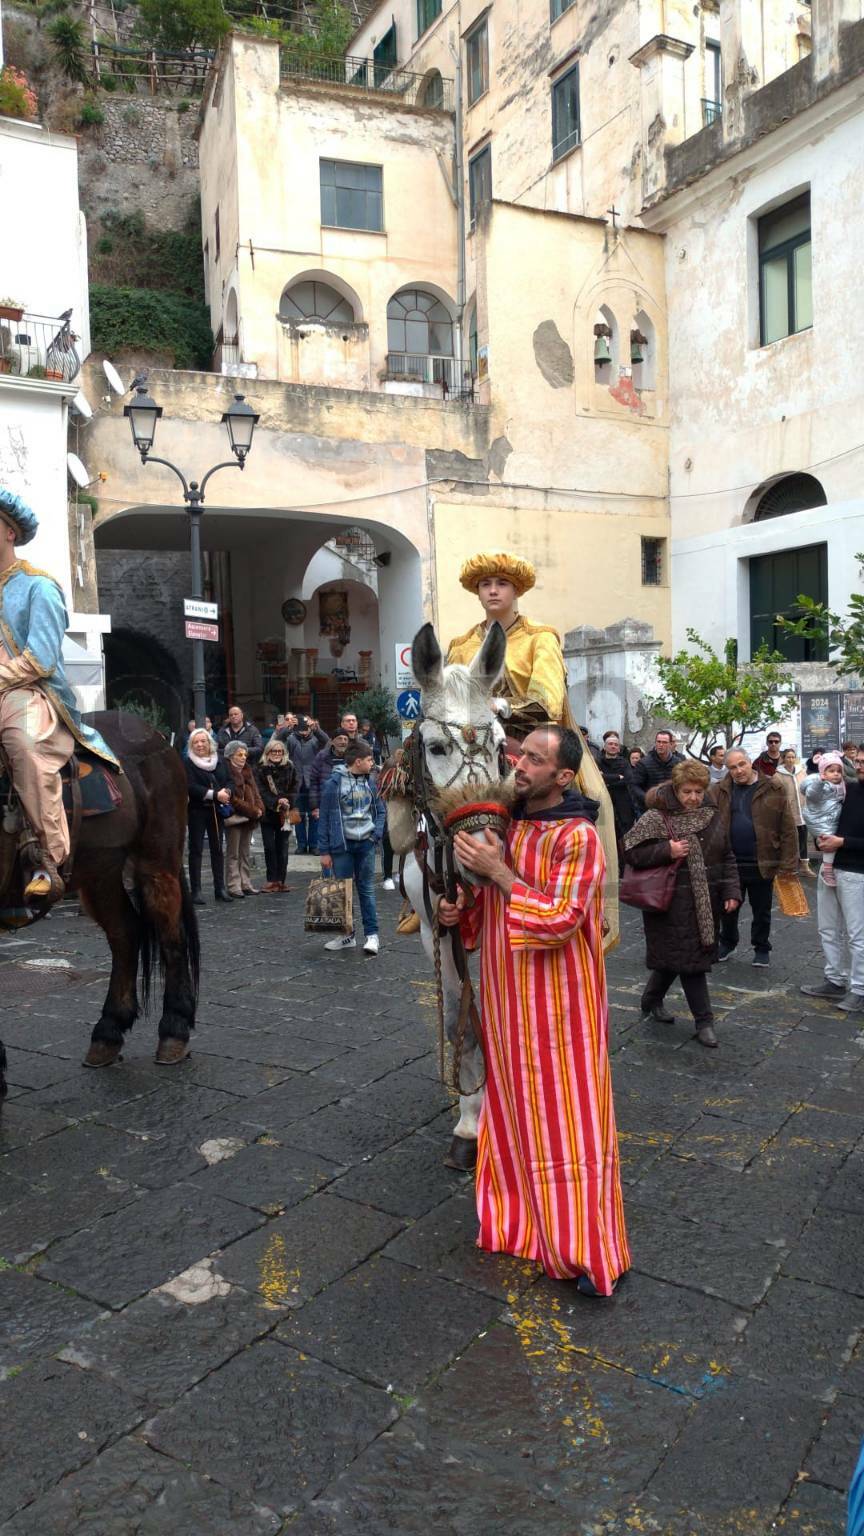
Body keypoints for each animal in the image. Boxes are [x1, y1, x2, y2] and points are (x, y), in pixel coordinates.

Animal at [0, 703, 196, 1093]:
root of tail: (158, 738)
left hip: (156, 861)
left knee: (171, 937)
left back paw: (174, 1030)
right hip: (99, 874)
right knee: (126, 934)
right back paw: (108, 1032)